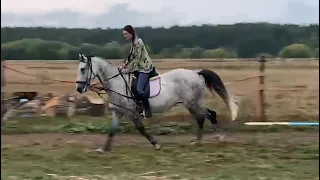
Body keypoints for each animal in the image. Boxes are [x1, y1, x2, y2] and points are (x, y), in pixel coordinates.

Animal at [76, 53, 239, 152]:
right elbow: (111, 131)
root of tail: (196, 73)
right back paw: (198, 141)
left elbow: (141, 129)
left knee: (209, 115)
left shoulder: (131, 113)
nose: (79, 88)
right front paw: (104, 149)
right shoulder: (118, 112)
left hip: (193, 103)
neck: (117, 83)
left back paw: (219, 138)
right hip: (191, 104)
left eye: (83, 69)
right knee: (201, 118)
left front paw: (156, 144)